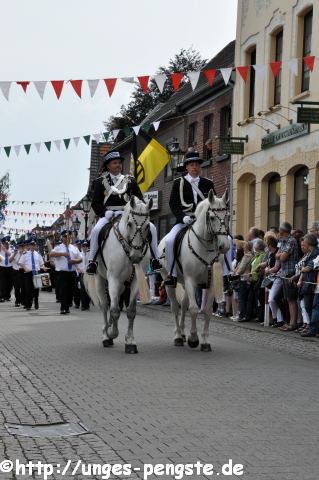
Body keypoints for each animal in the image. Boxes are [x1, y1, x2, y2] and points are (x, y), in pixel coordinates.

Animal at [85, 195, 153, 352]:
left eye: (147, 226)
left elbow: (131, 311)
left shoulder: (135, 282)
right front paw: (111, 333)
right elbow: (114, 310)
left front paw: (130, 342)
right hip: (101, 280)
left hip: (122, 285)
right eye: (129, 224)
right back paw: (106, 335)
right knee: (105, 306)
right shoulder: (114, 279)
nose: (136, 256)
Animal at [159, 190, 230, 352]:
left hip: (185, 283)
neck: (205, 248)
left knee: (183, 304)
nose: (224, 246)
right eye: (212, 217)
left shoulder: (210, 282)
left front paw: (205, 342)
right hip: (170, 281)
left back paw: (182, 333)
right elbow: (193, 308)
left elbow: (207, 310)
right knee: (175, 307)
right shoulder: (191, 280)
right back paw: (178, 336)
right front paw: (193, 338)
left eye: (228, 216)